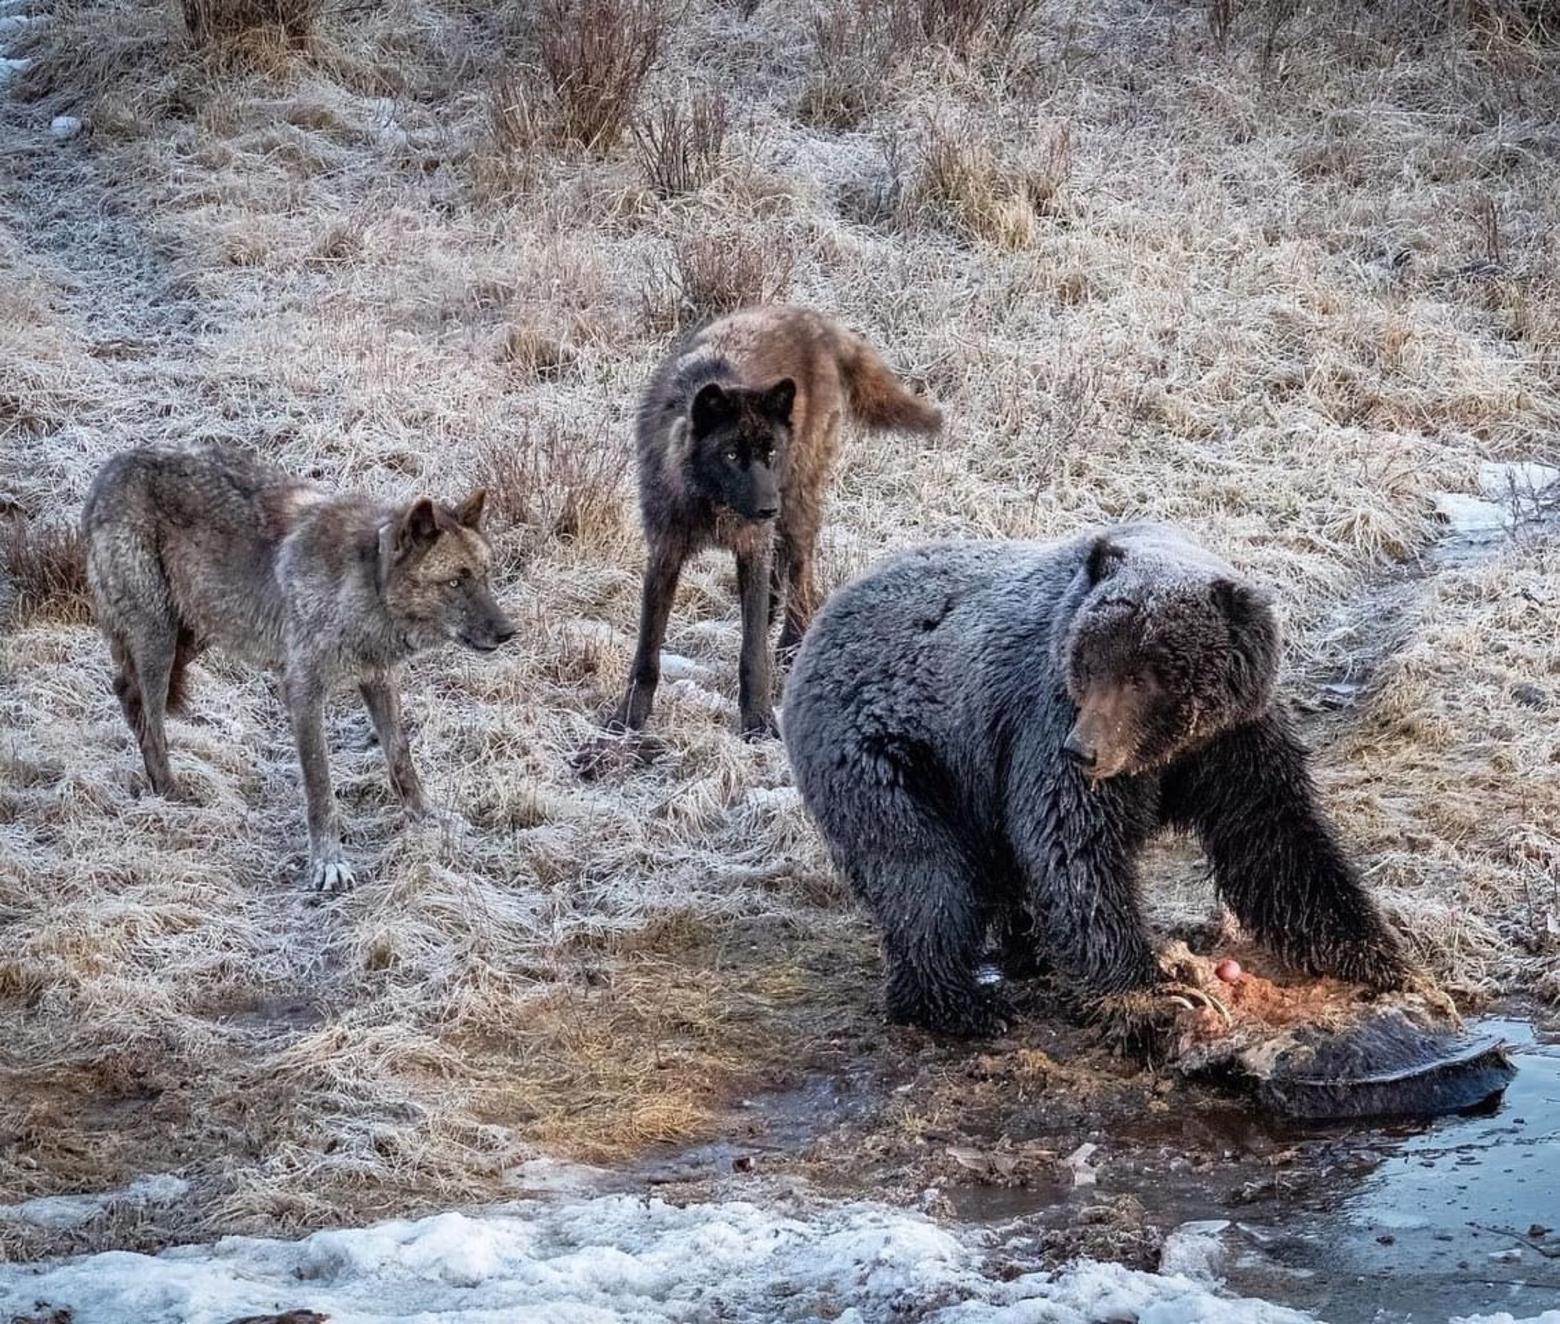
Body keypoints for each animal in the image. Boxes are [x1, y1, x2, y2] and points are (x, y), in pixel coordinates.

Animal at [786, 520, 1422, 1035]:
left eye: (1144, 675)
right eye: (1090, 663)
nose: (1084, 751)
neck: (1167, 750)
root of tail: (822, 621)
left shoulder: (1234, 740)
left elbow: (1277, 839)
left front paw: (1378, 954)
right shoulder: (1044, 717)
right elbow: (1073, 844)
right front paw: (1148, 992)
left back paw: (1024, 954)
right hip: (895, 754)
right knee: (923, 872)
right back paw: (960, 1003)